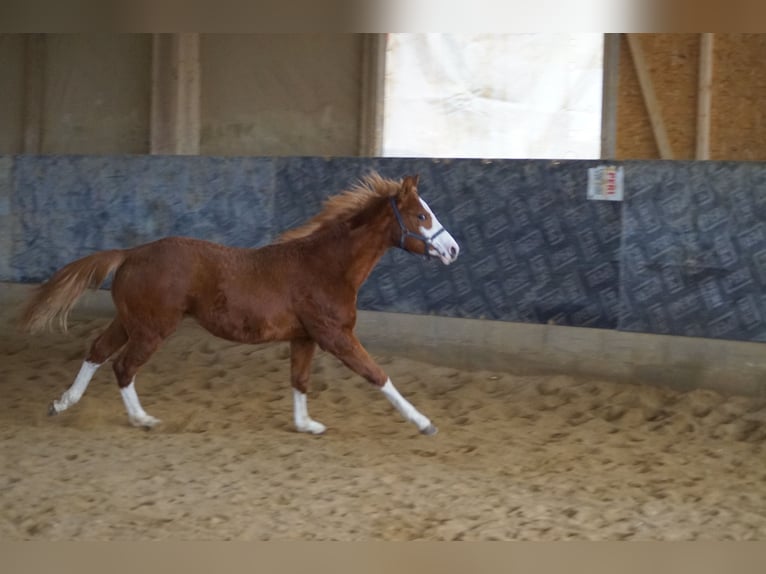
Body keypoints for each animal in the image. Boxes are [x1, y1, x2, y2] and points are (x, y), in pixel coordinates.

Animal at [19, 174, 462, 436]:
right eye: (421, 215)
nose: (454, 249)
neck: (326, 266)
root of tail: (131, 253)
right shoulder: (335, 335)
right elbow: (378, 375)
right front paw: (425, 423)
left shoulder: (305, 337)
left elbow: (300, 380)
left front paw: (306, 424)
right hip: (152, 328)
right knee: (122, 366)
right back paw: (142, 419)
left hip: (130, 322)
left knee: (97, 352)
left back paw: (61, 404)